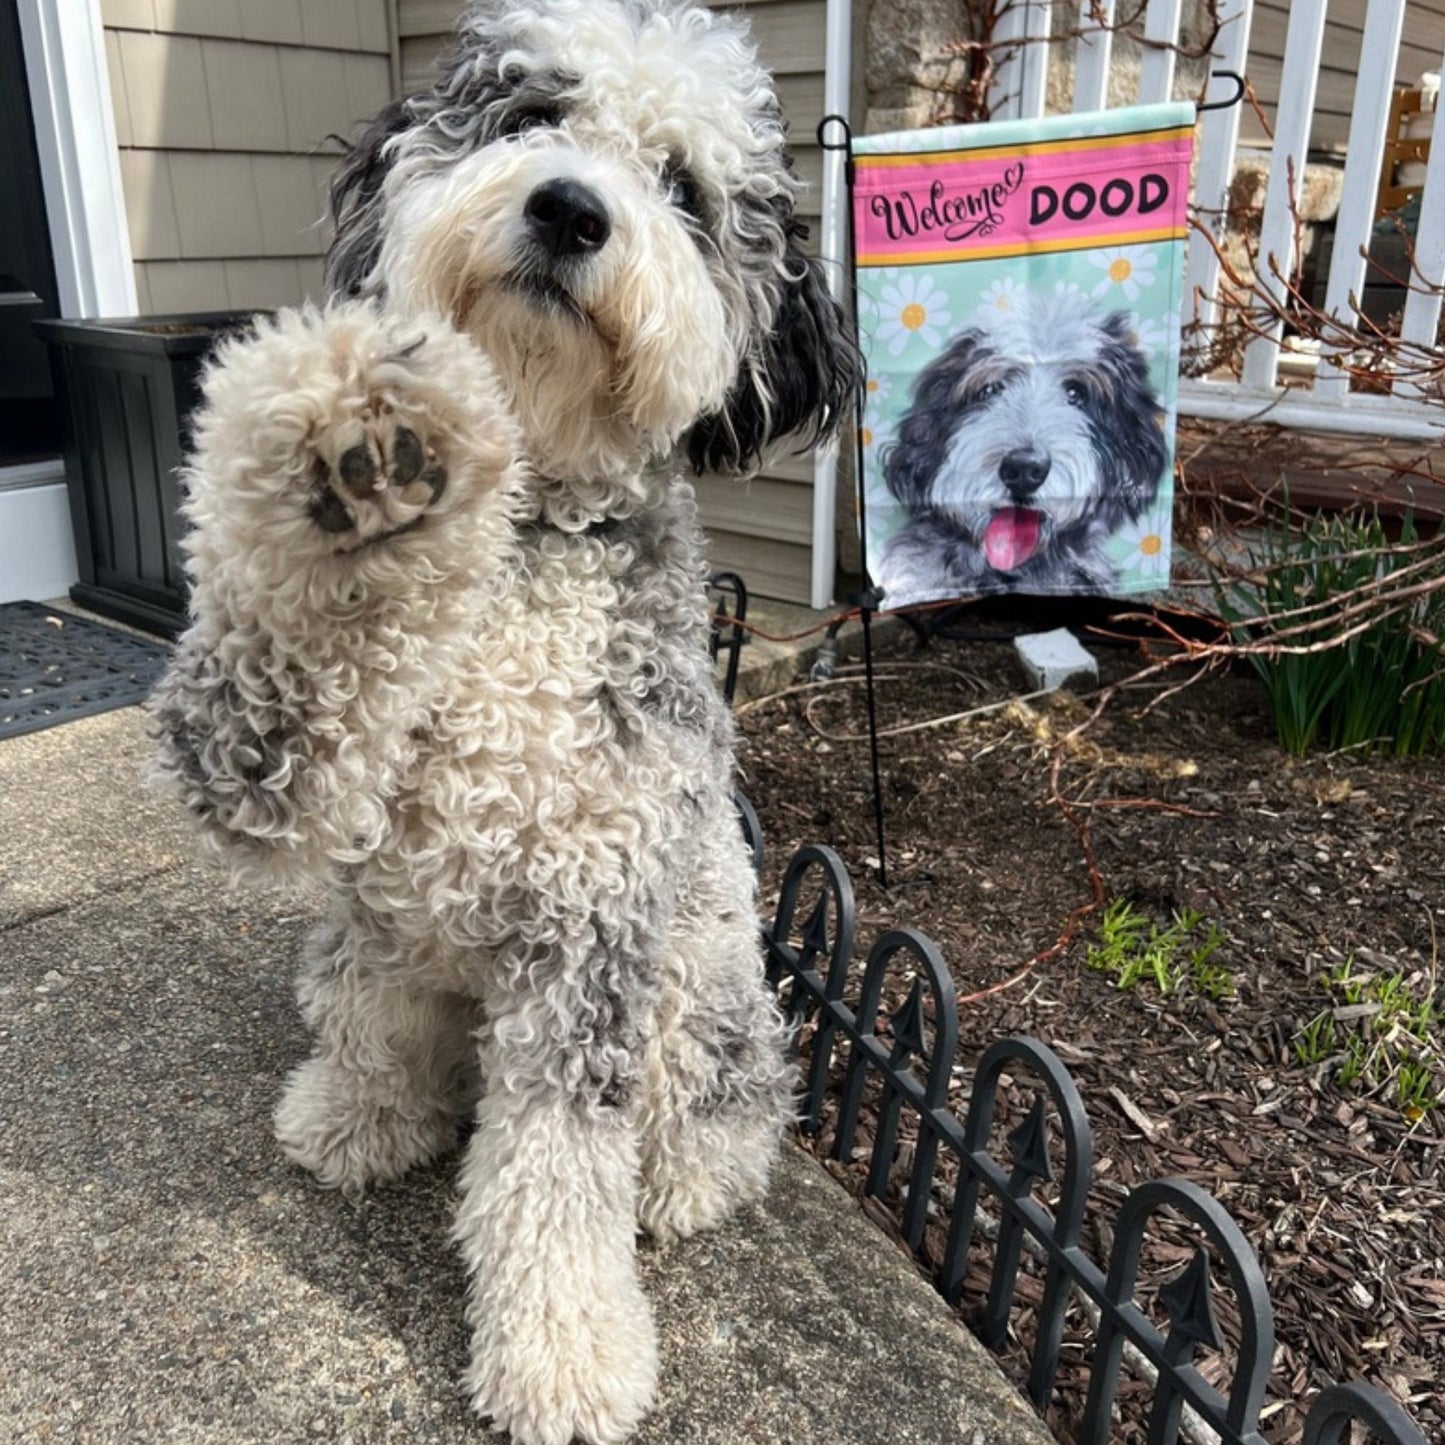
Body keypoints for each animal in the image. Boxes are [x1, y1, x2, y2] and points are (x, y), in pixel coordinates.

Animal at [146, 2, 849, 1445]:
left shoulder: (585, 937)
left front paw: (565, 1354)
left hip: (705, 994)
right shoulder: (293, 786)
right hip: (347, 943)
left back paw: (684, 1181)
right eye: (530, 113)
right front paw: (345, 444)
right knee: (368, 1011)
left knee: (722, 1114)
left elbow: (555, 1176)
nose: (571, 209)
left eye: (682, 189)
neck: (524, 541)